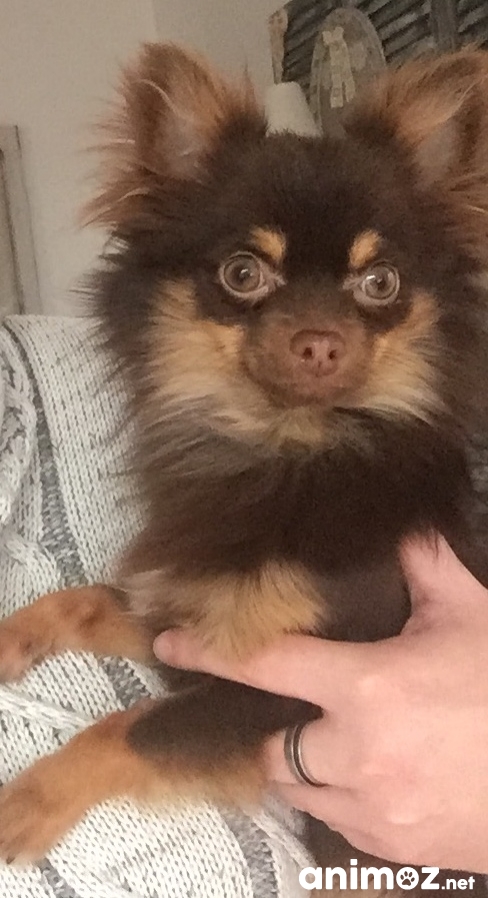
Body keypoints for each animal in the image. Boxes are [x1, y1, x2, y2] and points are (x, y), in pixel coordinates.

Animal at [1, 44, 488, 893]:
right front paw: (7, 640)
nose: (321, 341)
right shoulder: (189, 623)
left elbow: (127, 728)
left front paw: (22, 802)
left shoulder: (271, 689)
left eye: (381, 283)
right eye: (242, 273)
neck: (283, 452)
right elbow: (85, 600)